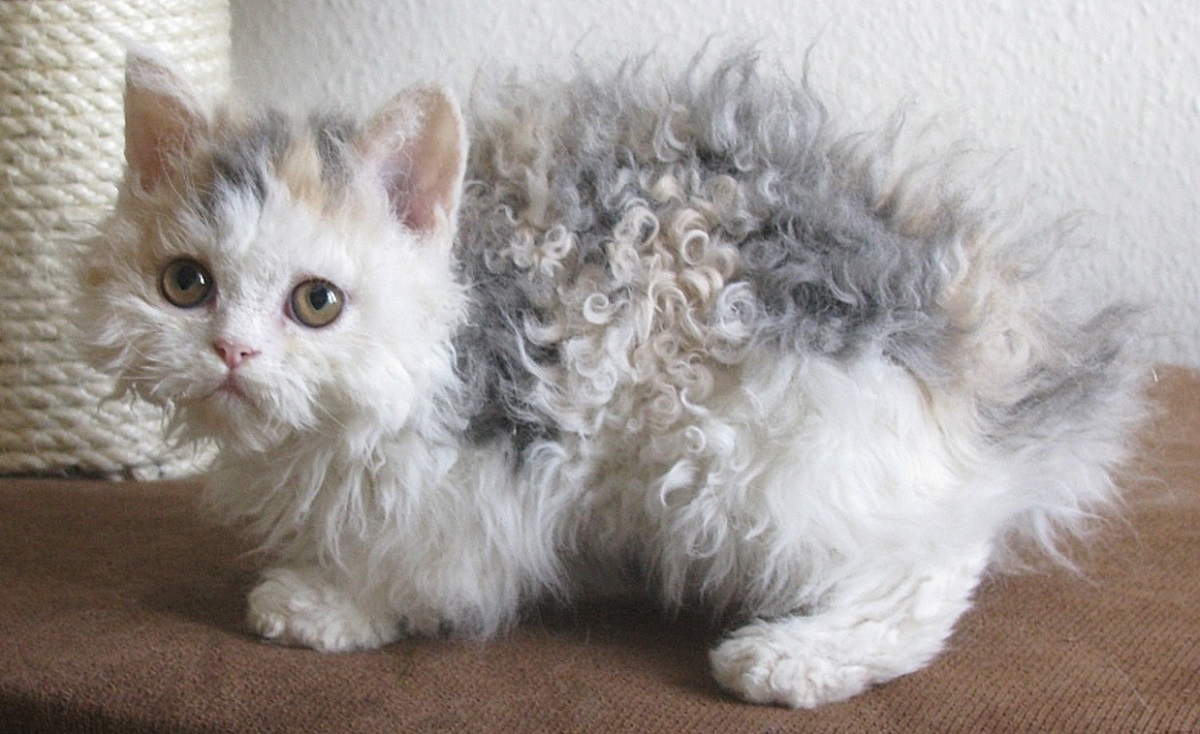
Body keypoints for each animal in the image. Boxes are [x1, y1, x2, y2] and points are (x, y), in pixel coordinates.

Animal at [75, 48, 1142, 710]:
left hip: (760, 444)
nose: (232, 353)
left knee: (930, 569)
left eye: (317, 304)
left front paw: (330, 605)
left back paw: (795, 659)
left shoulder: (487, 465)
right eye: (186, 286)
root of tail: (976, 339)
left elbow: (429, 567)